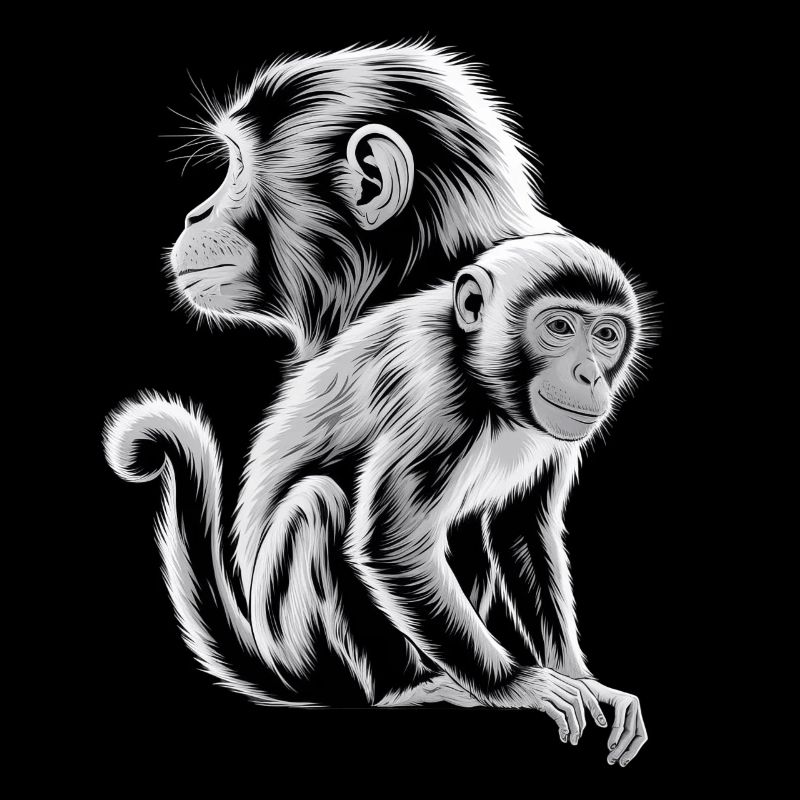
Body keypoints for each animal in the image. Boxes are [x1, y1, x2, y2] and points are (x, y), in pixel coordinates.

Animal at [106, 233, 654, 765]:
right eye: (559, 327)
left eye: (606, 336)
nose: (589, 375)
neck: (490, 389)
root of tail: (273, 659)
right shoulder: (433, 392)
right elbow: (391, 546)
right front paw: (516, 686)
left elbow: (517, 531)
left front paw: (580, 679)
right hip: (295, 642)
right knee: (321, 503)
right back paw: (400, 690)